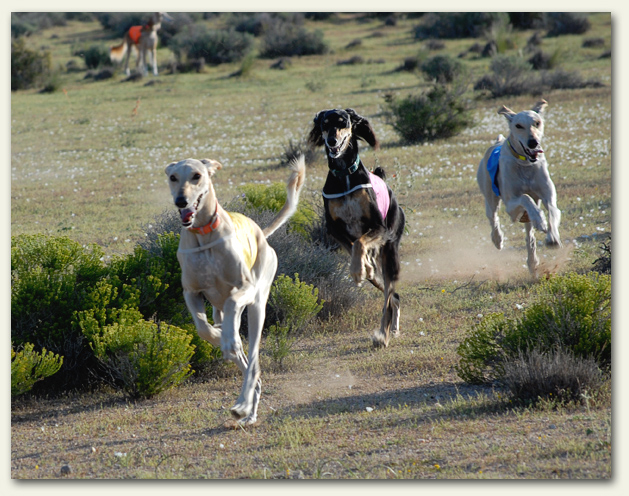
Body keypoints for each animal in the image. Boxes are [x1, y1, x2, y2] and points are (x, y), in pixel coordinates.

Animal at [166, 154, 306, 422]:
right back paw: (247, 407)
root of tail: (261, 231)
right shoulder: (191, 293)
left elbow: (232, 302)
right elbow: (202, 328)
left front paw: (227, 340)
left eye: (197, 176)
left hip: (257, 305)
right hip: (222, 309)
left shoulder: (244, 288)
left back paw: (243, 404)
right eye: (173, 177)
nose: (181, 201)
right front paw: (218, 336)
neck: (203, 233)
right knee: (240, 352)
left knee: (252, 361)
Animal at [308, 108, 404, 348]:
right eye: (324, 123)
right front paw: (362, 267)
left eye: (343, 122)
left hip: (390, 250)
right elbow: (353, 246)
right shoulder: (334, 229)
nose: (332, 141)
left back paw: (383, 335)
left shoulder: (379, 227)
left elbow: (360, 243)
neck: (344, 175)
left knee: (389, 296)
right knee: (391, 294)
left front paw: (357, 269)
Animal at [478, 99, 560, 278]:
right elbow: (525, 197)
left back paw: (533, 262)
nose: (533, 142)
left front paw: (552, 237)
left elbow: (552, 210)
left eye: (537, 122)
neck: (524, 163)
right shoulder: (511, 206)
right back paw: (498, 239)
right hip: (490, 198)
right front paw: (540, 220)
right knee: (493, 219)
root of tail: (497, 141)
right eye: (518, 125)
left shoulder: (548, 196)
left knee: (530, 237)